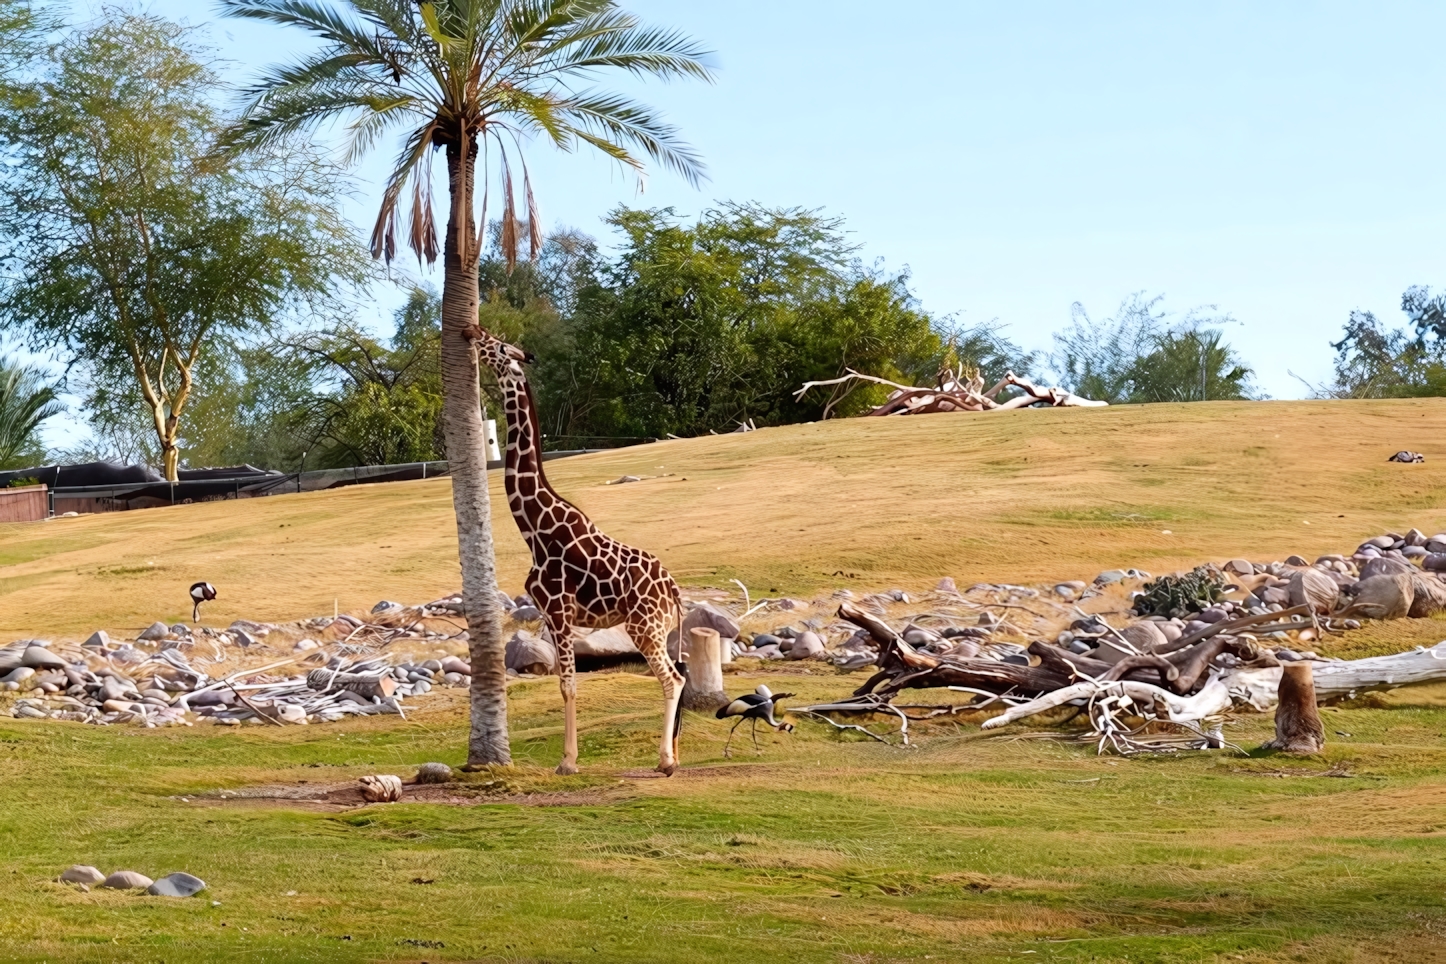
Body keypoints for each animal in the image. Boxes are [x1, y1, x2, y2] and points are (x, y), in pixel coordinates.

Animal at [465, 323, 685, 774]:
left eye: (498, 346)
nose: (472, 329)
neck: (535, 529)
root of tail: (673, 589)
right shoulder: (551, 616)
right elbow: (563, 682)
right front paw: (568, 758)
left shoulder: (560, 610)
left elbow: (567, 685)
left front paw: (567, 761)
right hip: (655, 627)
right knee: (678, 676)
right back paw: (672, 755)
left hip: (645, 626)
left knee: (672, 678)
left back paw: (666, 762)